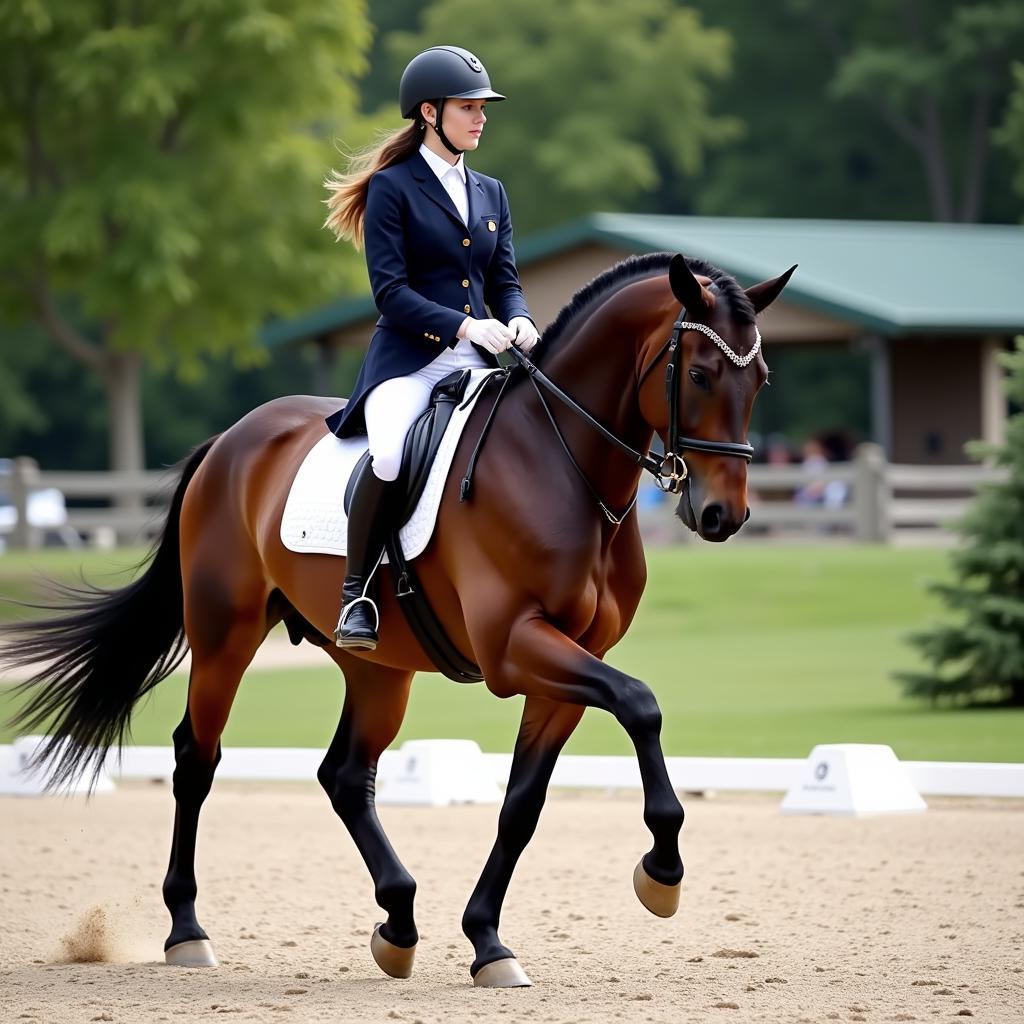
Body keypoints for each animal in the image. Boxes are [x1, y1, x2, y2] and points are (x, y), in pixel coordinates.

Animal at [4, 247, 794, 983]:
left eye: (759, 379)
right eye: (700, 375)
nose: (722, 516)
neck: (565, 466)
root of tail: (230, 441)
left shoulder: (568, 660)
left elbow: (523, 802)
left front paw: (488, 941)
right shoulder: (516, 648)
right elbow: (640, 703)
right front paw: (662, 872)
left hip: (378, 667)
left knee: (346, 775)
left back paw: (399, 922)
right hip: (225, 635)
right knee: (197, 759)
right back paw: (188, 931)